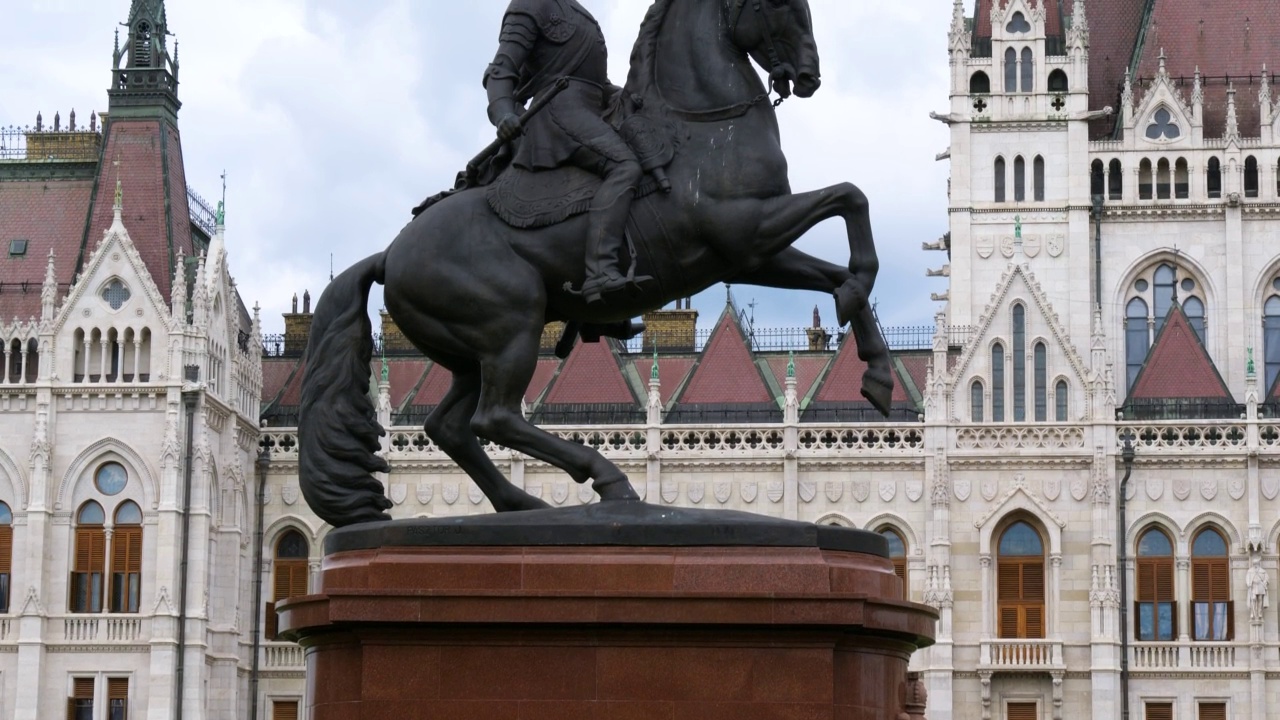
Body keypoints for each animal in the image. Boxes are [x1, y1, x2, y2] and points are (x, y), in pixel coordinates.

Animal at [302, 0, 890, 527]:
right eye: (778, 4)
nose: (808, 75)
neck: (697, 126)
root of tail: (389, 252)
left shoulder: (750, 252)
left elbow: (844, 249)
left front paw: (878, 372)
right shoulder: (748, 229)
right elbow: (851, 199)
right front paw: (864, 324)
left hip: (469, 351)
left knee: (451, 427)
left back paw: (524, 502)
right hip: (510, 325)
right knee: (495, 416)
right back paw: (607, 479)